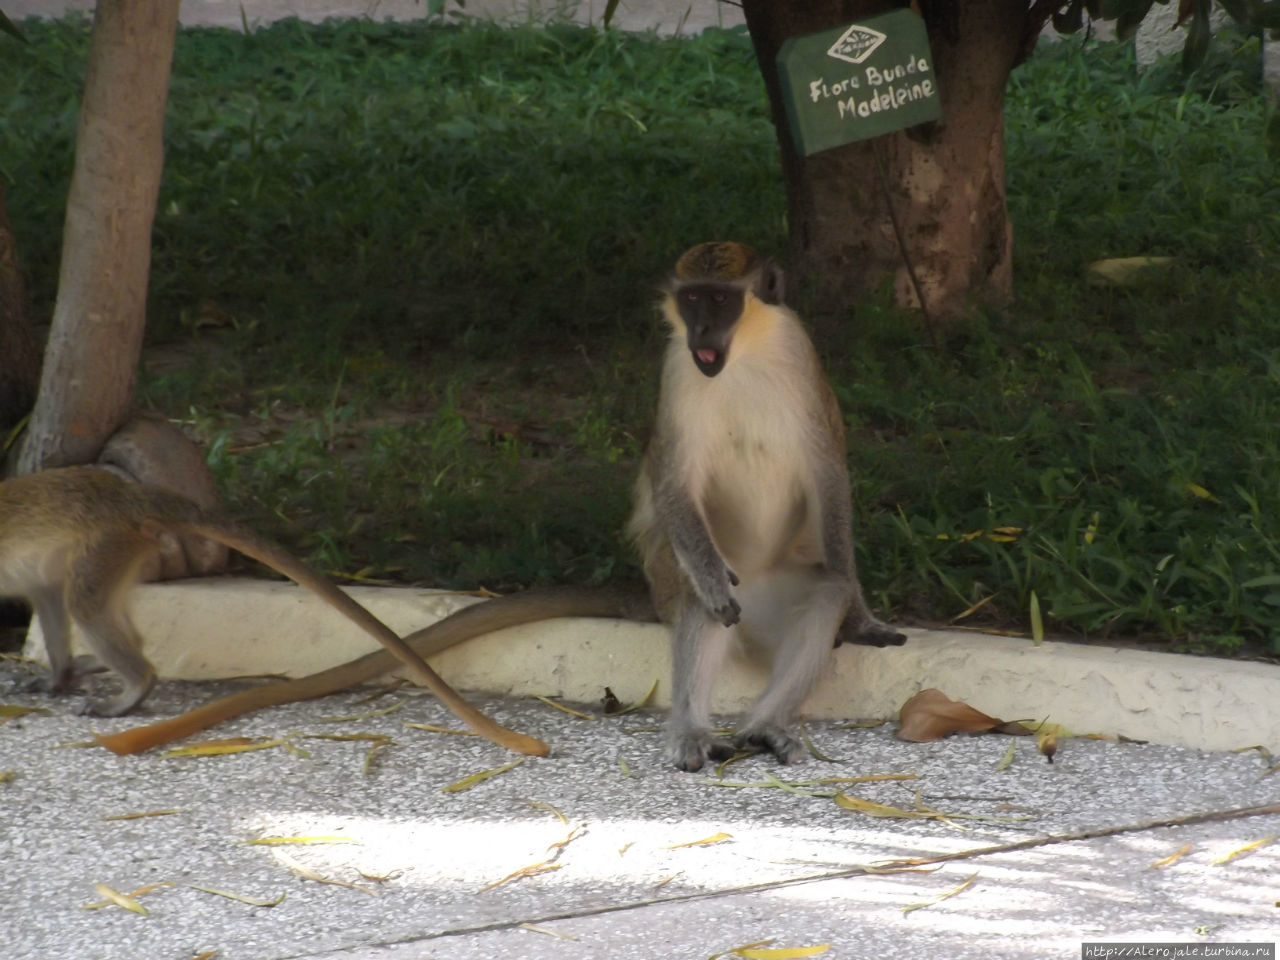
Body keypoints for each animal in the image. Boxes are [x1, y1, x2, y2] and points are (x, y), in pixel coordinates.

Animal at [0, 471, 545, 757]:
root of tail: (129, 493)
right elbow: (43, 594)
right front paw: (56, 676)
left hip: (106, 543)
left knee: (84, 601)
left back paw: (134, 684)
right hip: (117, 549)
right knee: (66, 593)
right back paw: (82, 669)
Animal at [627, 241, 906, 773]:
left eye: (720, 300)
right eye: (692, 298)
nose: (701, 330)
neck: (744, 355)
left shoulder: (800, 354)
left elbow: (828, 476)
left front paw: (861, 618)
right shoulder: (676, 367)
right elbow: (674, 486)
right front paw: (711, 580)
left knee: (829, 590)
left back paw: (764, 725)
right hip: (677, 586)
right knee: (702, 599)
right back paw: (692, 729)